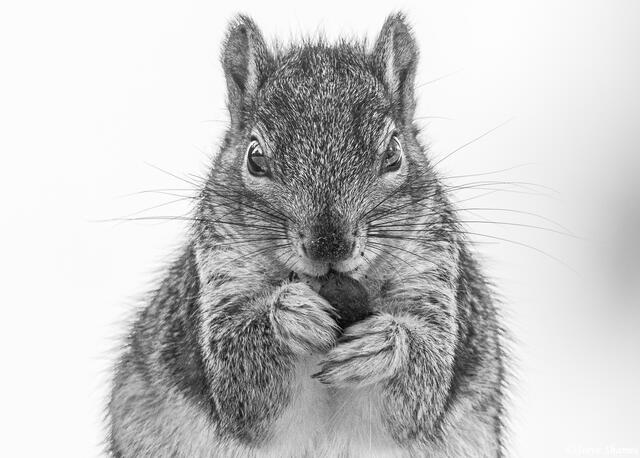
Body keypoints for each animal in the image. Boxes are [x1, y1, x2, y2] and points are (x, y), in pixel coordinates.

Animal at [108, 13, 509, 458]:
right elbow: (239, 384)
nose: (329, 245)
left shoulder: (430, 272)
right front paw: (289, 314)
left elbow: (424, 388)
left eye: (393, 153)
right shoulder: (222, 271)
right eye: (255, 158)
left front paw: (384, 345)